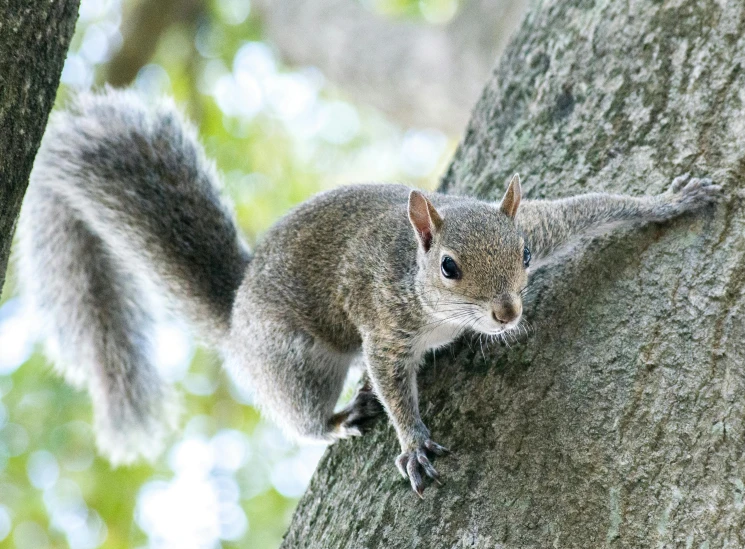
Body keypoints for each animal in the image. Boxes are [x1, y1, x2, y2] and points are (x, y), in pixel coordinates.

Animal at [17, 91, 720, 496]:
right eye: (449, 267)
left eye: (523, 254)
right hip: (291, 358)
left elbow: (592, 210)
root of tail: (236, 318)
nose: (506, 312)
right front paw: (412, 444)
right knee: (300, 414)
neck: (421, 282)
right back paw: (339, 417)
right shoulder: (383, 319)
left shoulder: (544, 226)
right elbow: (389, 378)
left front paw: (672, 201)